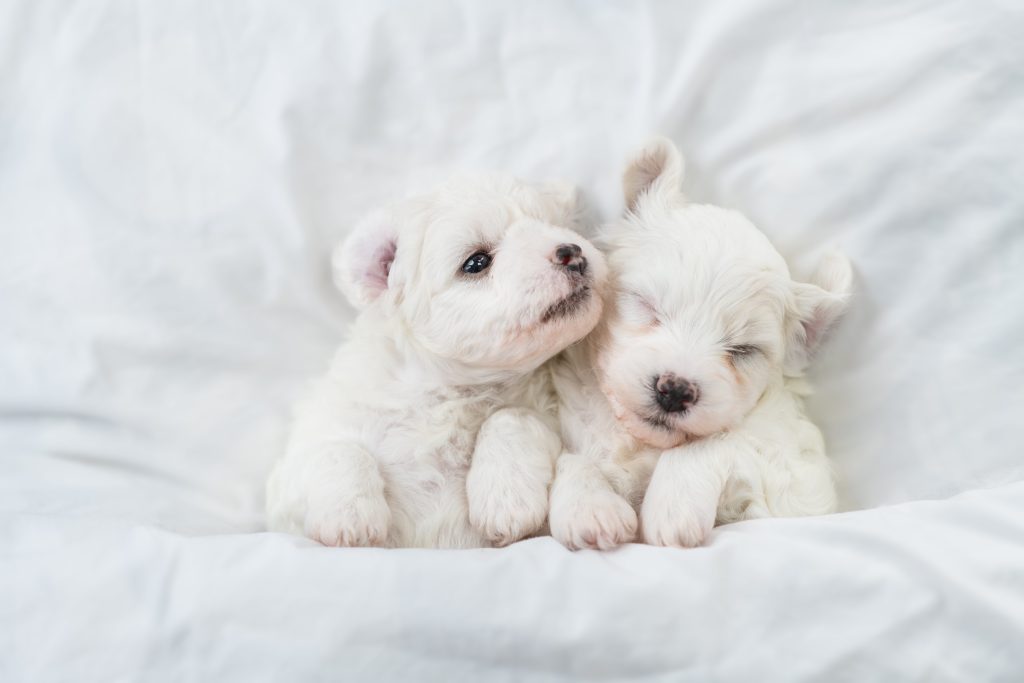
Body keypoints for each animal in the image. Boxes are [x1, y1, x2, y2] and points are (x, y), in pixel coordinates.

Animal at [266, 172, 606, 548]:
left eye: (555, 226)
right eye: (476, 263)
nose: (570, 251)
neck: (453, 393)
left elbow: (511, 417)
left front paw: (505, 499)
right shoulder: (288, 486)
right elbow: (335, 449)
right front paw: (350, 517)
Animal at [548, 139, 851, 548]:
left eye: (743, 350)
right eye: (646, 304)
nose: (675, 390)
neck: (644, 443)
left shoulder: (800, 483)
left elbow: (719, 439)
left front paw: (671, 508)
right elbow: (571, 458)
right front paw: (590, 508)